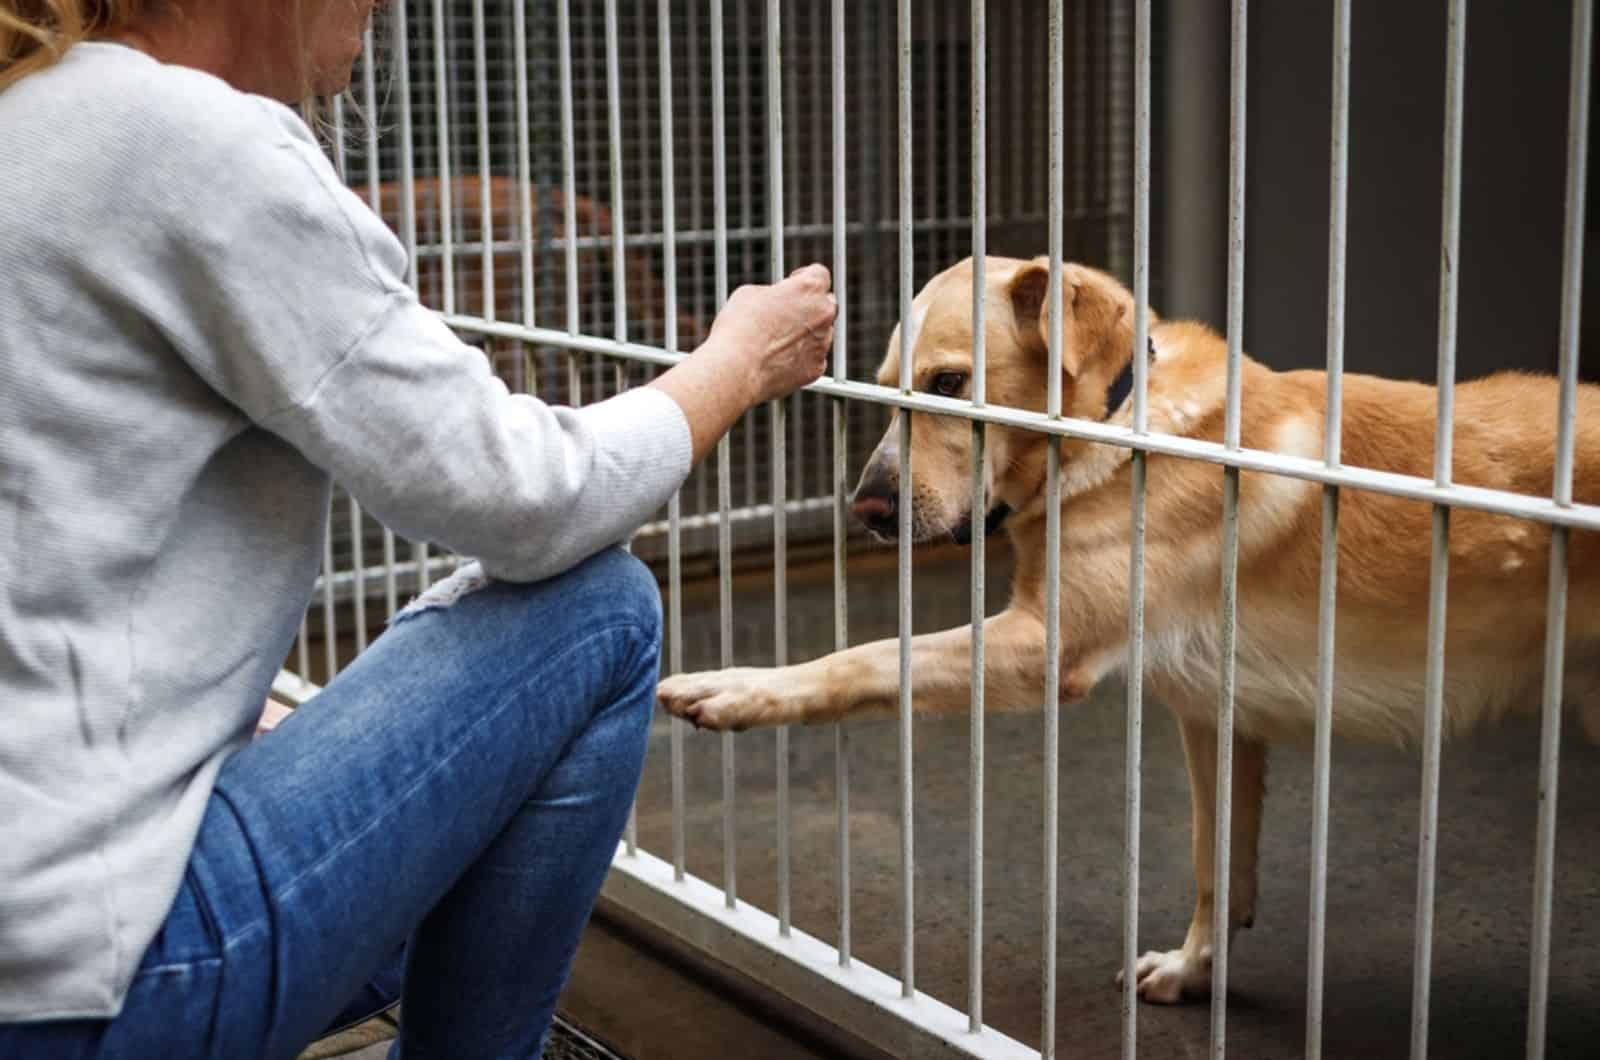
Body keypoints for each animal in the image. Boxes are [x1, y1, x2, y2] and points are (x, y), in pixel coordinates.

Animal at [656, 257, 1600, 1005]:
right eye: (889, 387)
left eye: (951, 384)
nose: (869, 513)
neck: (1110, 425)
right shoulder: (1217, 721)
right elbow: (1218, 867)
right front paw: (1194, 972)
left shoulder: (1044, 648)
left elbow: (864, 658)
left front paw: (735, 688)